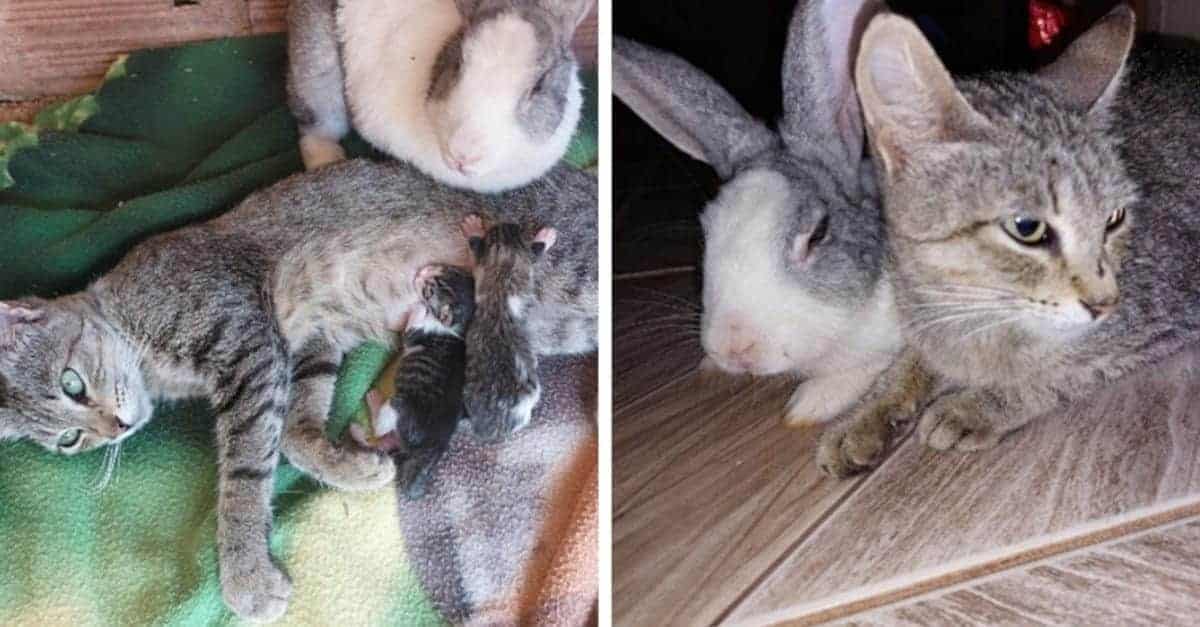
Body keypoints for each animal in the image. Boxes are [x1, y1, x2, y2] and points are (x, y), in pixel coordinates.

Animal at [287, 0, 593, 193]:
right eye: (459, 62)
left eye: (539, 85)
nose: (463, 156)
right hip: (318, 72)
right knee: (315, 130)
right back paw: (328, 162)